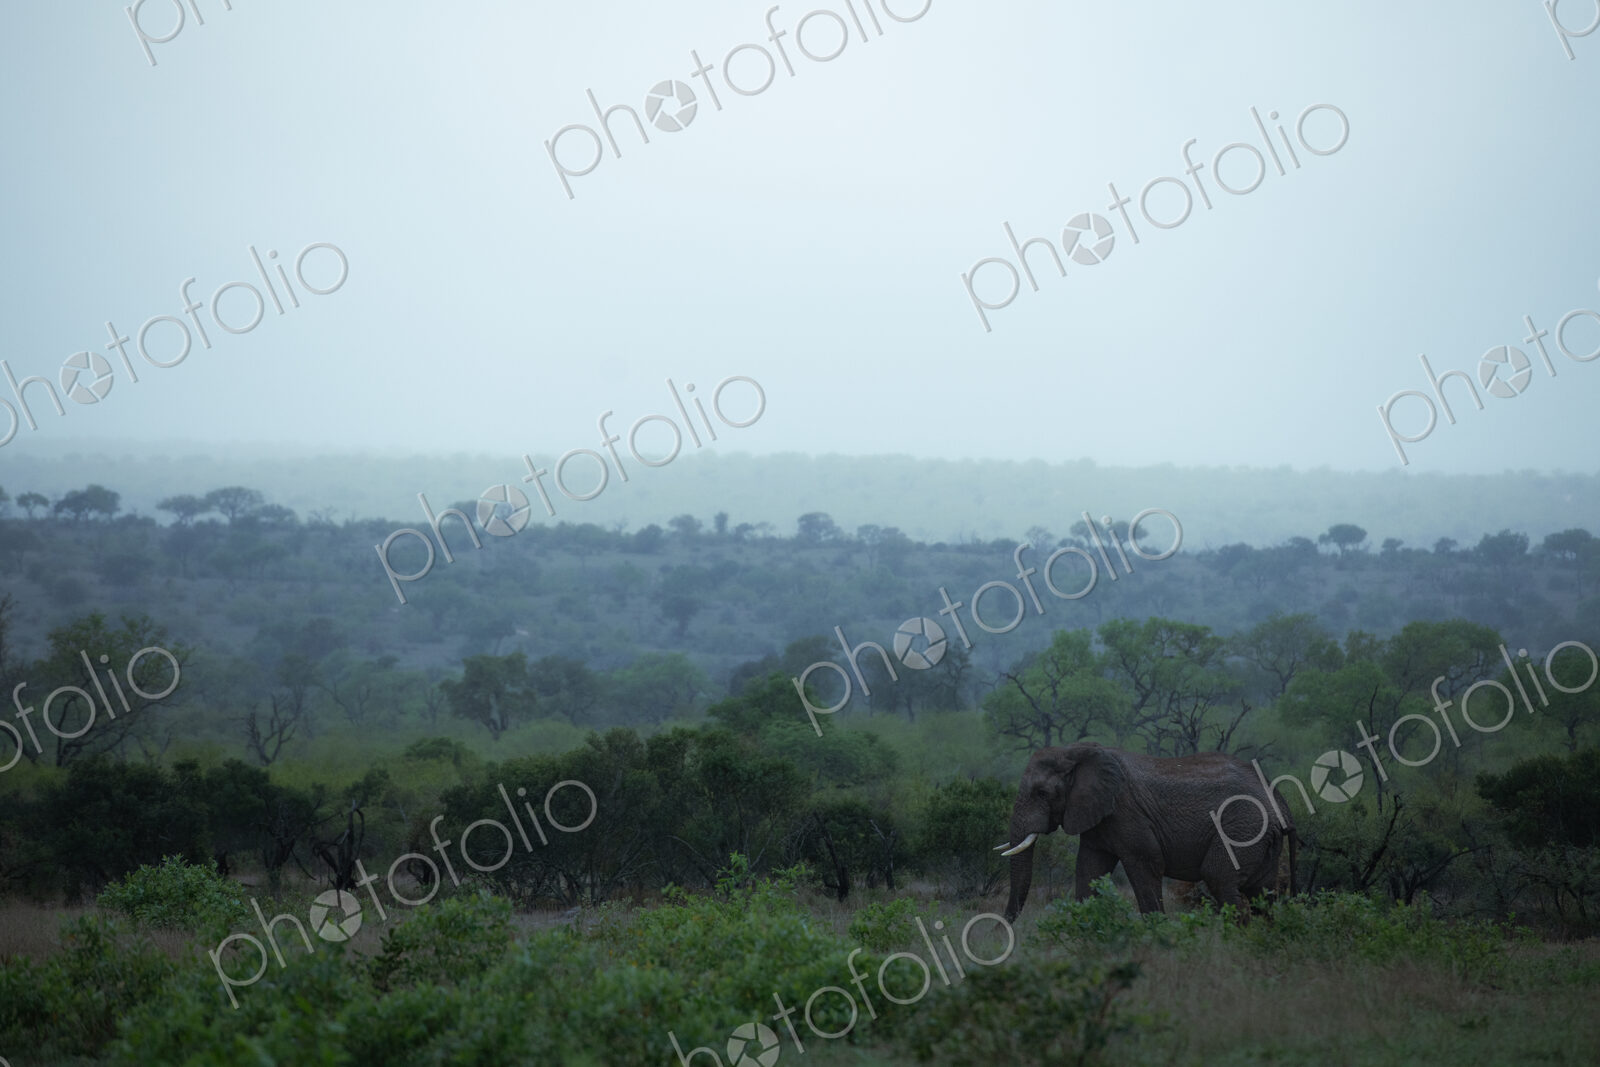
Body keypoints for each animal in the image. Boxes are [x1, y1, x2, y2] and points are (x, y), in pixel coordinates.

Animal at [997, 742, 1297, 921]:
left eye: (1041, 793)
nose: (1004, 927)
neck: (1075, 752)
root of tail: (1278, 798)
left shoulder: (1127, 812)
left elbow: (1146, 864)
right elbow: (1088, 869)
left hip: (1244, 827)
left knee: (1220, 878)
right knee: (1261, 892)